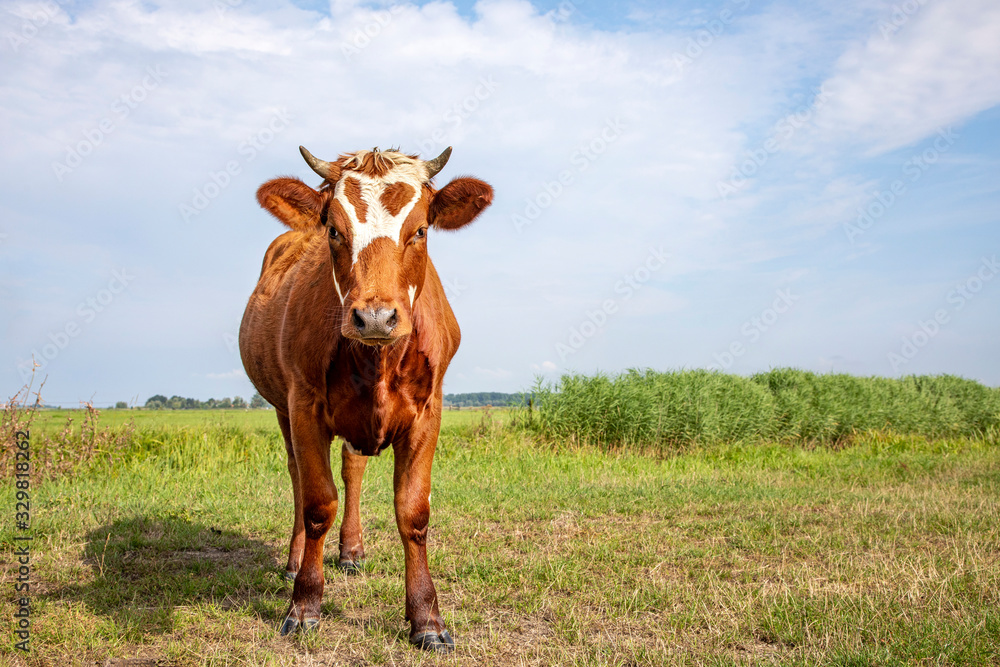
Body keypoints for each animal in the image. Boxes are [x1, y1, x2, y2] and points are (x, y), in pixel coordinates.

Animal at [242, 146, 492, 652]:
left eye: (420, 230)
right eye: (334, 230)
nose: (375, 317)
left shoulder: (428, 412)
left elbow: (414, 511)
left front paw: (426, 619)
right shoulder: (303, 406)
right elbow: (318, 504)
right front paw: (305, 606)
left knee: (352, 467)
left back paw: (352, 550)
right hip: (281, 408)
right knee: (298, 479)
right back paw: (295, 562)